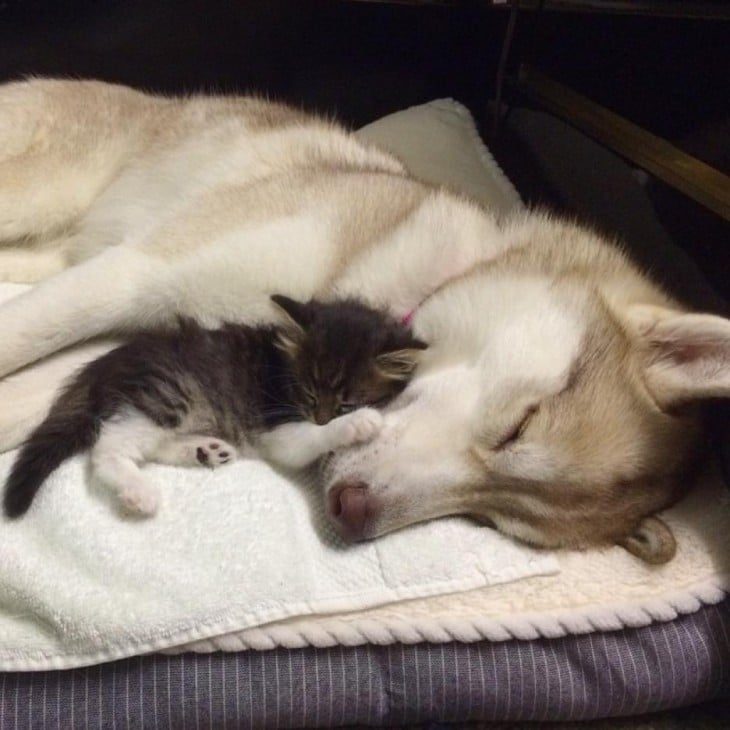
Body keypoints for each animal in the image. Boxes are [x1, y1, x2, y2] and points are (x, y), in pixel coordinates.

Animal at [2, 296, 424, 516]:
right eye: (308, 394)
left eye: (344, 401)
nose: (321, 415)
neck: (283, 369)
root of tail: (103, 364)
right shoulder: (277, 428)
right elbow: (306, 439)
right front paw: (361, 424)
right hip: (168, 392)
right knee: (108, 446)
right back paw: (139, 491)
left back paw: (205, 450)